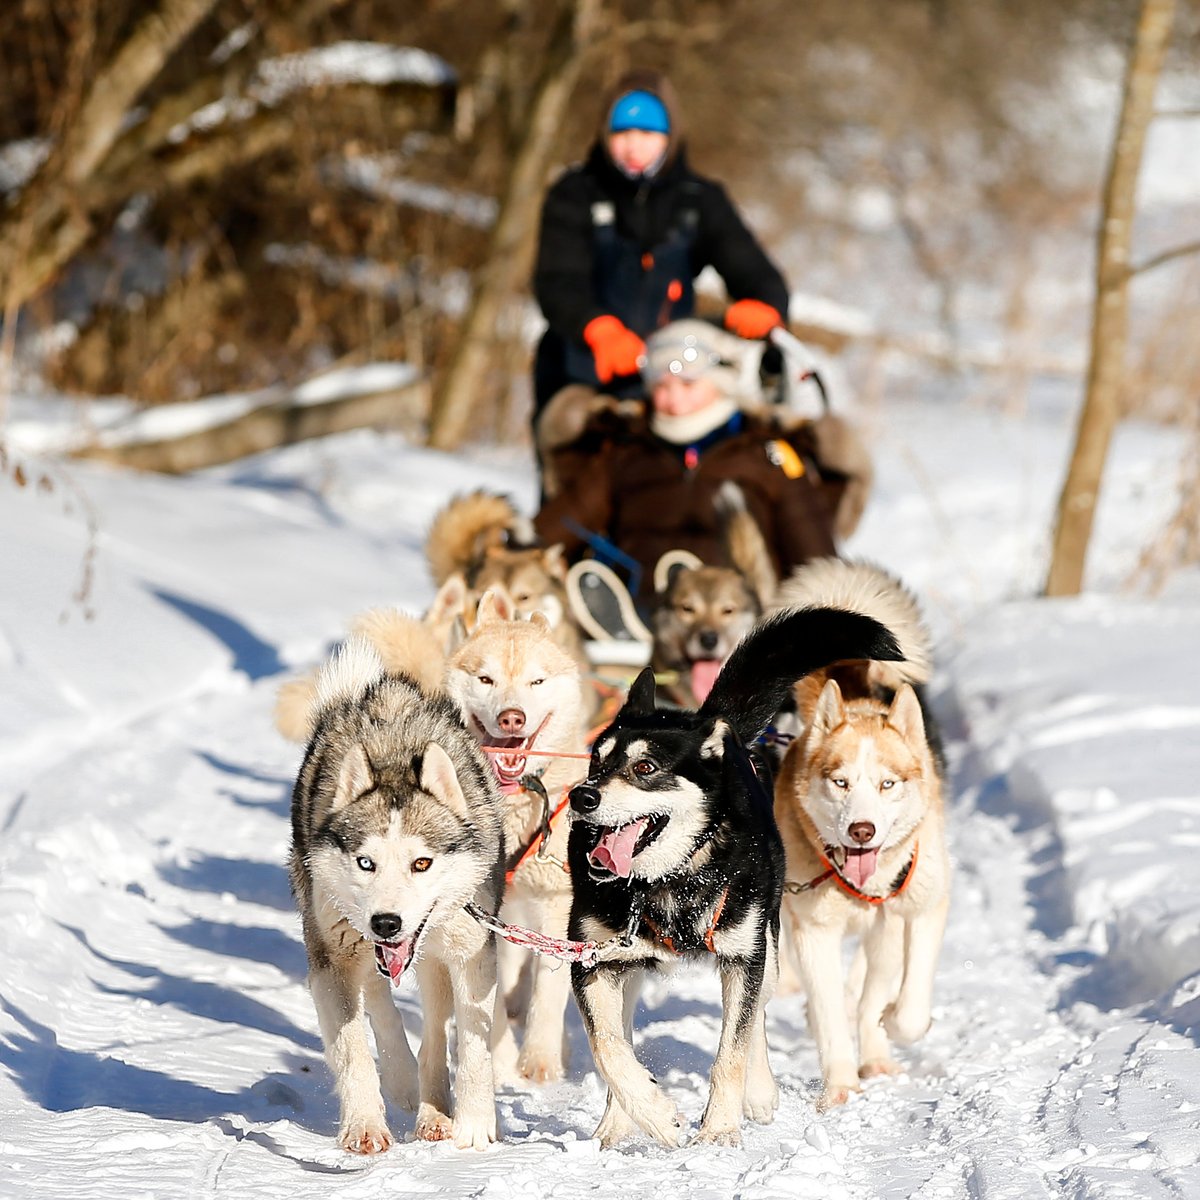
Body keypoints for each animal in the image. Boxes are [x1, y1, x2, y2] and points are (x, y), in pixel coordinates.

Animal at [291, 643, 506, 1147]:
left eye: (421, 863)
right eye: (365, 862)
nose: (386, 923)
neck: (393, 756)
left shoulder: (472, 954)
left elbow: (473, 1046)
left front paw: (474, 1129)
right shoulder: (331, 959)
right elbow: (353, 1050)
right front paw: (364, 1126)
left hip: (438, 951)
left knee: (435, 1023)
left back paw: (433, 1111)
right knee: (380, 1002)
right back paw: (404, 1081)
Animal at [444, 595, 588, 1084]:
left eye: (536, 681)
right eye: (485, 679)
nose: (512, 717)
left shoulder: (558, 906)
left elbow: (549, 990)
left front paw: (539, 1061)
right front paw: (502, 1059)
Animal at [566, 604, 897, 1147]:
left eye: (645, 767)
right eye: (596, 758)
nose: (582, 796)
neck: (670, 880)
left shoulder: (745, 956)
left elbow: (732, 1050)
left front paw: (720, 1130)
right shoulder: (590, 960)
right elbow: (608, 1047)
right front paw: (654, 1114)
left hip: (766, 943)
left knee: (755, 1018)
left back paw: (758, 1093)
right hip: (626, 964)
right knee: (624, 1033)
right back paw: (617, 1123)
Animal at [772, 556, 950, 1108]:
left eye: (887, 783)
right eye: (841, 781)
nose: (862, 831)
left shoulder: (922, 908)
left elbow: (908, 1008)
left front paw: (892, 1024)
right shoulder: (813, 931)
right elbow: (829, 1012)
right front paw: (840, 1087)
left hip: (886, 930)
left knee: (870, 989)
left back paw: (875, 1048)